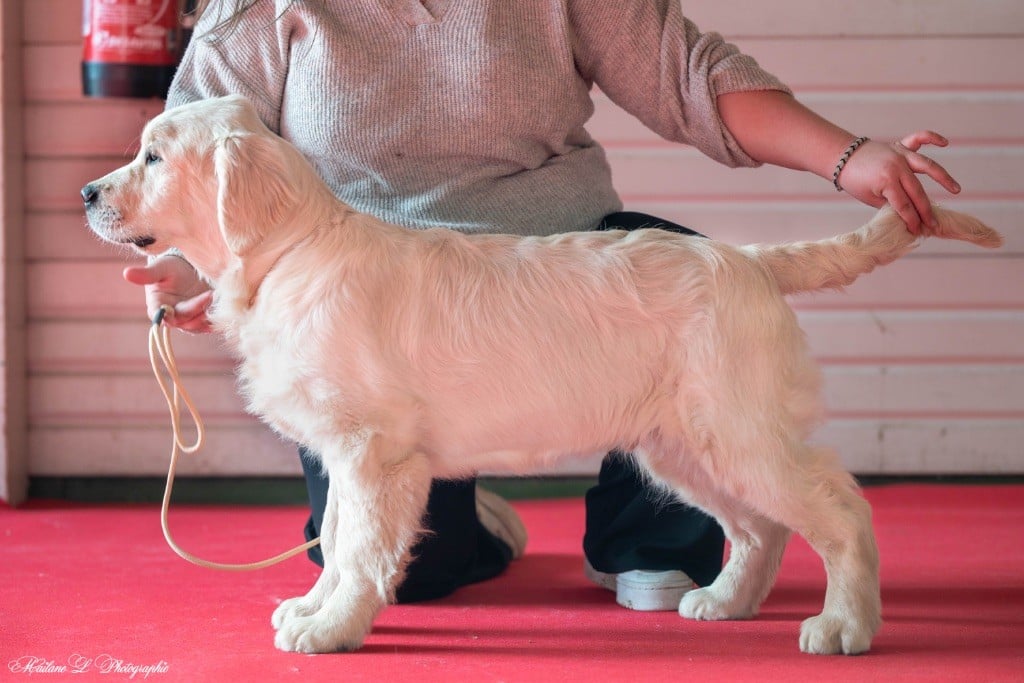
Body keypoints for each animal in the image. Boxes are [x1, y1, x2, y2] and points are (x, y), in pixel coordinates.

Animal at [81, 93, 999, 655]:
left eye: (153, 156)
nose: (87, 193)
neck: (291, 255)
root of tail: (751, 260)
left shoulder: (375, 450)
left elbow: (359, 545)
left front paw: (332, 626)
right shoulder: (344, 452)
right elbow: (336, 536)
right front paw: (314, 607)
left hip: (741, 430)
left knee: (841, 509)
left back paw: (844, 624)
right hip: (684, 443)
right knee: (761, 527)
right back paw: (727, 600)